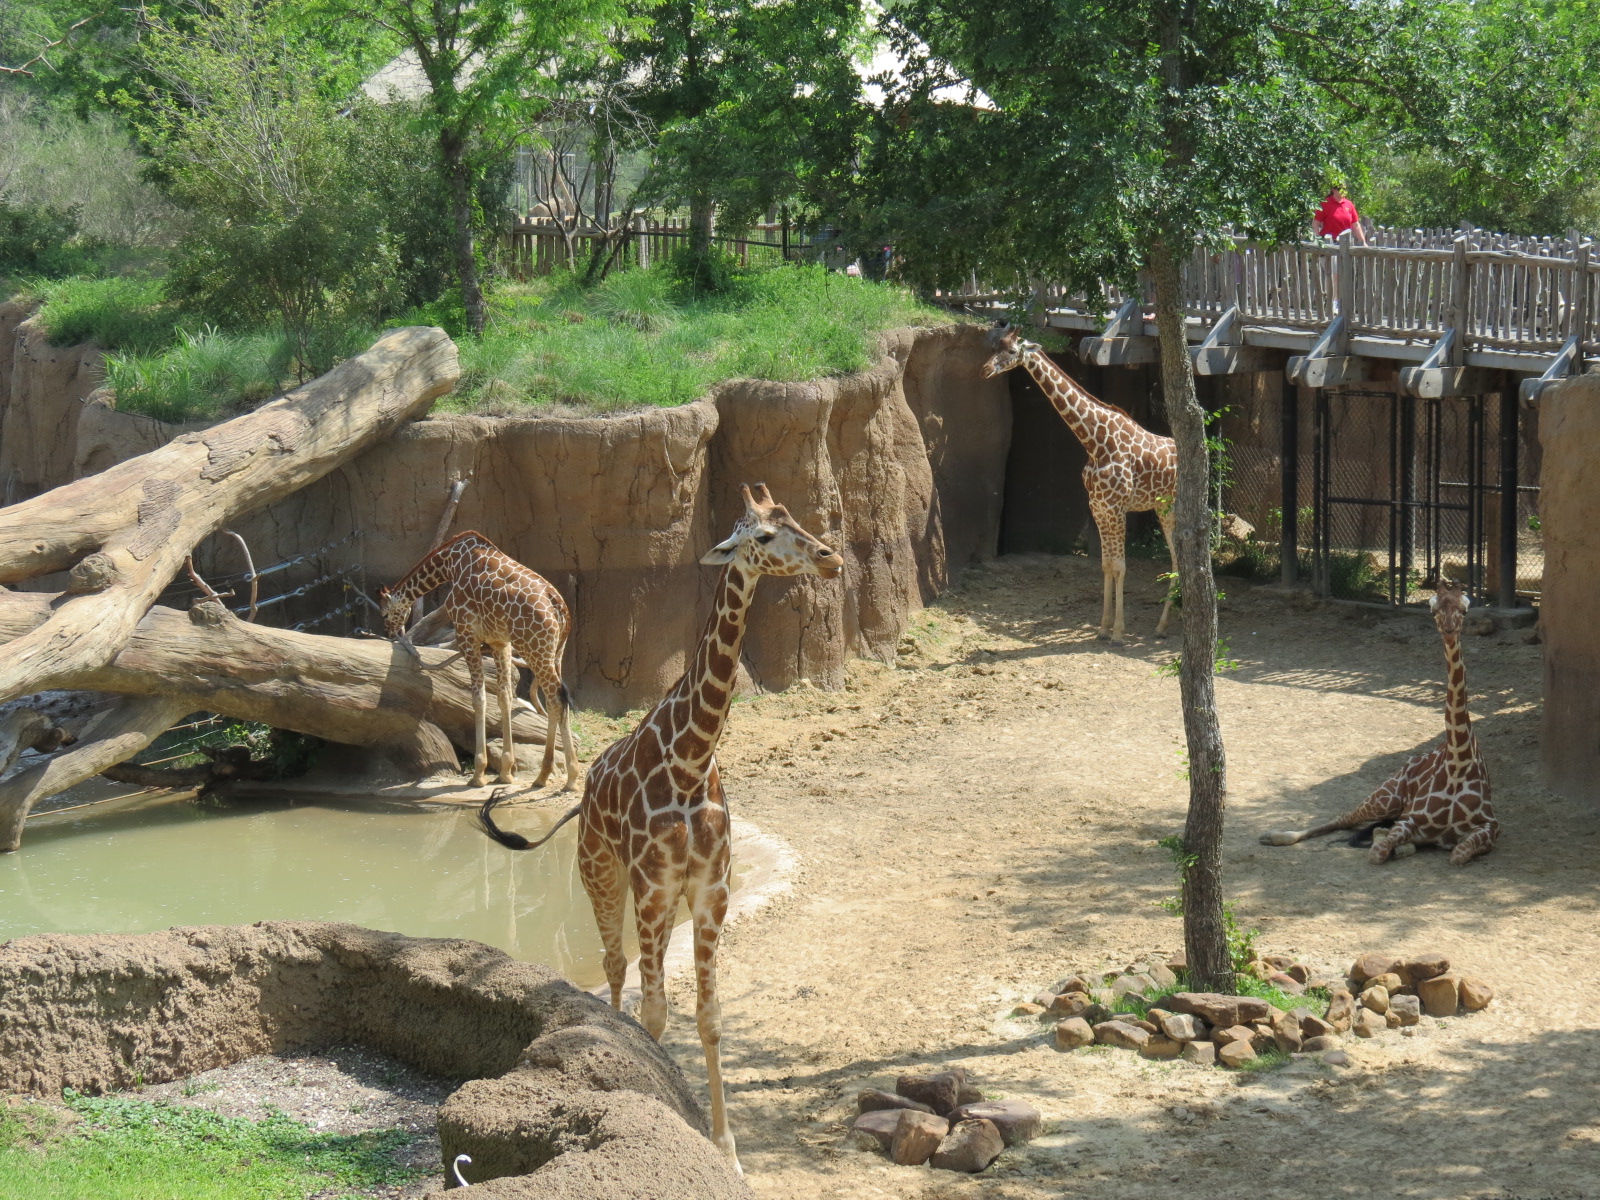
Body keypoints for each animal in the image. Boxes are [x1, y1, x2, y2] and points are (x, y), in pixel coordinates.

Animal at [377, 531, 578, 790]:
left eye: (384, 613)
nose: (390, 632)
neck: (450, 564)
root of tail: (560, 608)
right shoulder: (499, 642)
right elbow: (504, 697)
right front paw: (505, 772)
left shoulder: (468, 635)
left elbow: (479, 698)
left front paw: (479, 773)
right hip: (555, 652)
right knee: (556, 699)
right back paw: (544, 775)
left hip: (535, 649)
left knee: (555, 698)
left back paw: (569, 777)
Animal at [477, 483, 841, 1173]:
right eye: (761, 537)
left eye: (798, 522)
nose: (830, 558)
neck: (691, 759)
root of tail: (585, 793)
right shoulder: (651, 887)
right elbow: (652, 1014)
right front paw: (655, 1112)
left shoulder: (708, 892)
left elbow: (707, 1016)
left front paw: (726, 1150)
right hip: (601, 874)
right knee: (614, 969)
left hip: (656, 899)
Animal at [982, 321, 1178, 643]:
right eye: (995, 346)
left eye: (1011, 351)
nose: (985, 369)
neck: (1095, 442)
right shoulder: (1098, 507)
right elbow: (1107, 565)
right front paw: (1103, 628)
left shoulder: (1117, 508)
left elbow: (1120, 566)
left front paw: (1119, 632)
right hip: (1163, 508)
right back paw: (1166, 625)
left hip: (1176, 506)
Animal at [1260, 580, 1500, 865]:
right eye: (1434, 611)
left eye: (1464, 611)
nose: (1449, 630)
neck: (1457, 763)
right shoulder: (1411, 819)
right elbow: (1378, 852)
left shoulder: (1489, 826)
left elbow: (1457, 854)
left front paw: (1399, 846)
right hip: (1387, 795)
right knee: (1346, 818)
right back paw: (1273, 836)